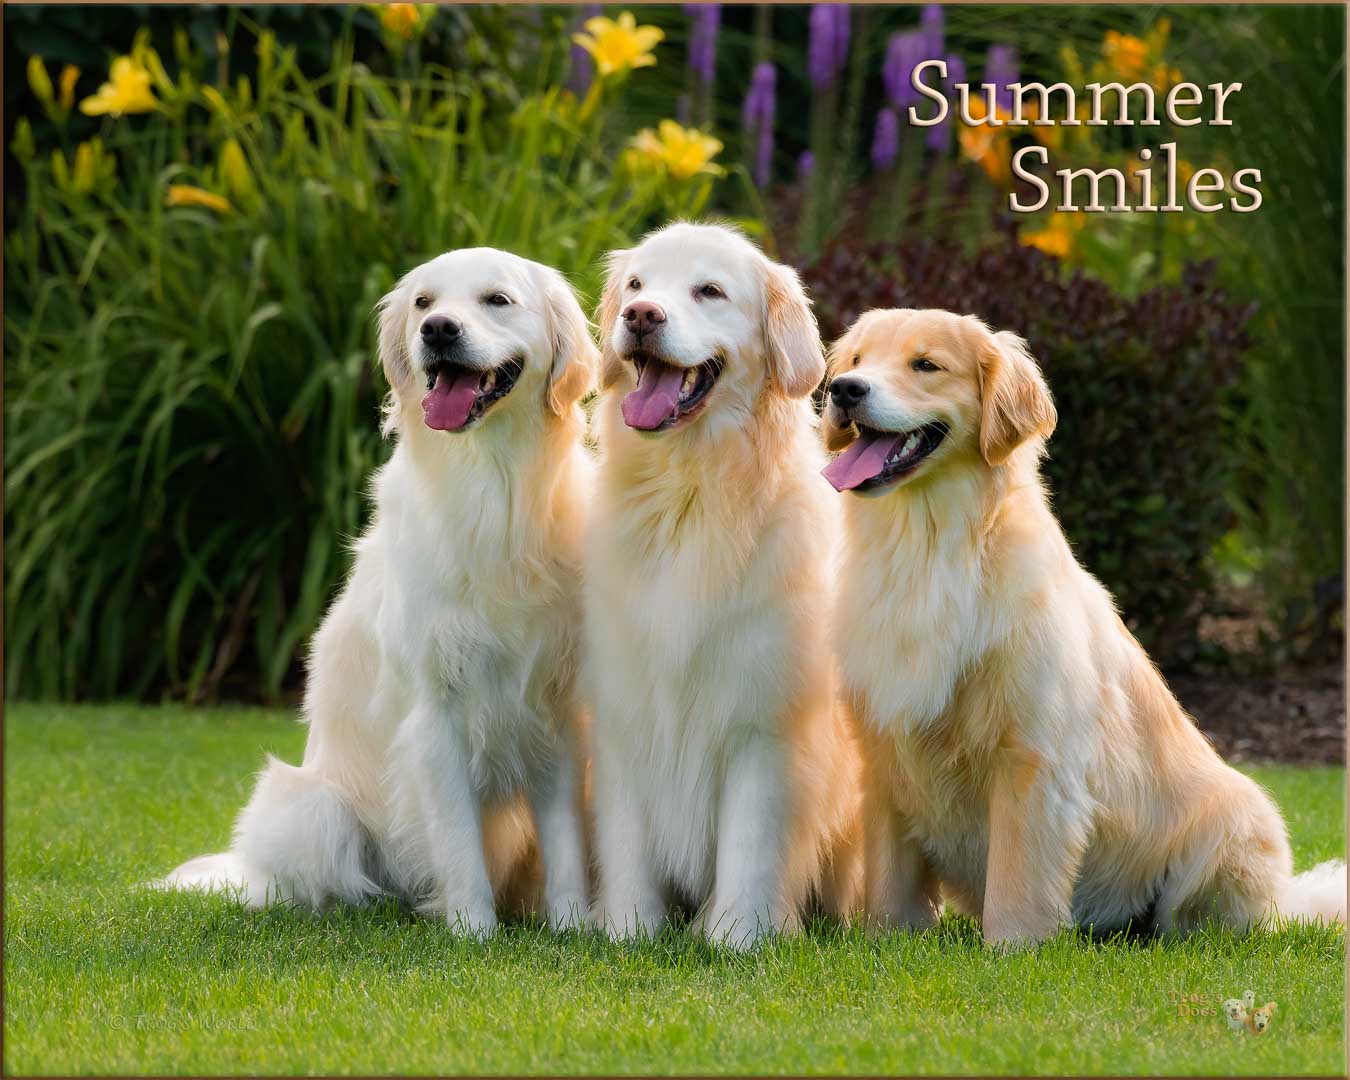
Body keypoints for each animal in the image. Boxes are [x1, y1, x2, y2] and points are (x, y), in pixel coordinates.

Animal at [164, 248, 596, 934]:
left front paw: (574, 928)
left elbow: (565, 841)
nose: (438, 330)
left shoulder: (550, 704)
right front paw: (475, 932)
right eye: (423, 302)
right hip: (312, 808)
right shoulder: (436, 713)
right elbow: (458, 843)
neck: (492, 489)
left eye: (497, 300)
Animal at [585, 225, 858, 945]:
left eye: (709, 290)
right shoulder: (623, 711)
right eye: (636, 285)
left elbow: (751, 841)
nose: (640, 317)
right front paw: (627, 928)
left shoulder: (762, 721)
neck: (691, 492)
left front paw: (738, 935)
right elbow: (627, 842)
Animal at [815, 306, 1344, 945]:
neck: (929, 547)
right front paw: (889, 939)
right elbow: (891, 881)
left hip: (1239, 814)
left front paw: (1014, 947)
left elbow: (1019, 878)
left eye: (925, 365)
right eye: (857, 360)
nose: (845, 390)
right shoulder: (885, 750)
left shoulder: (1032, 754)